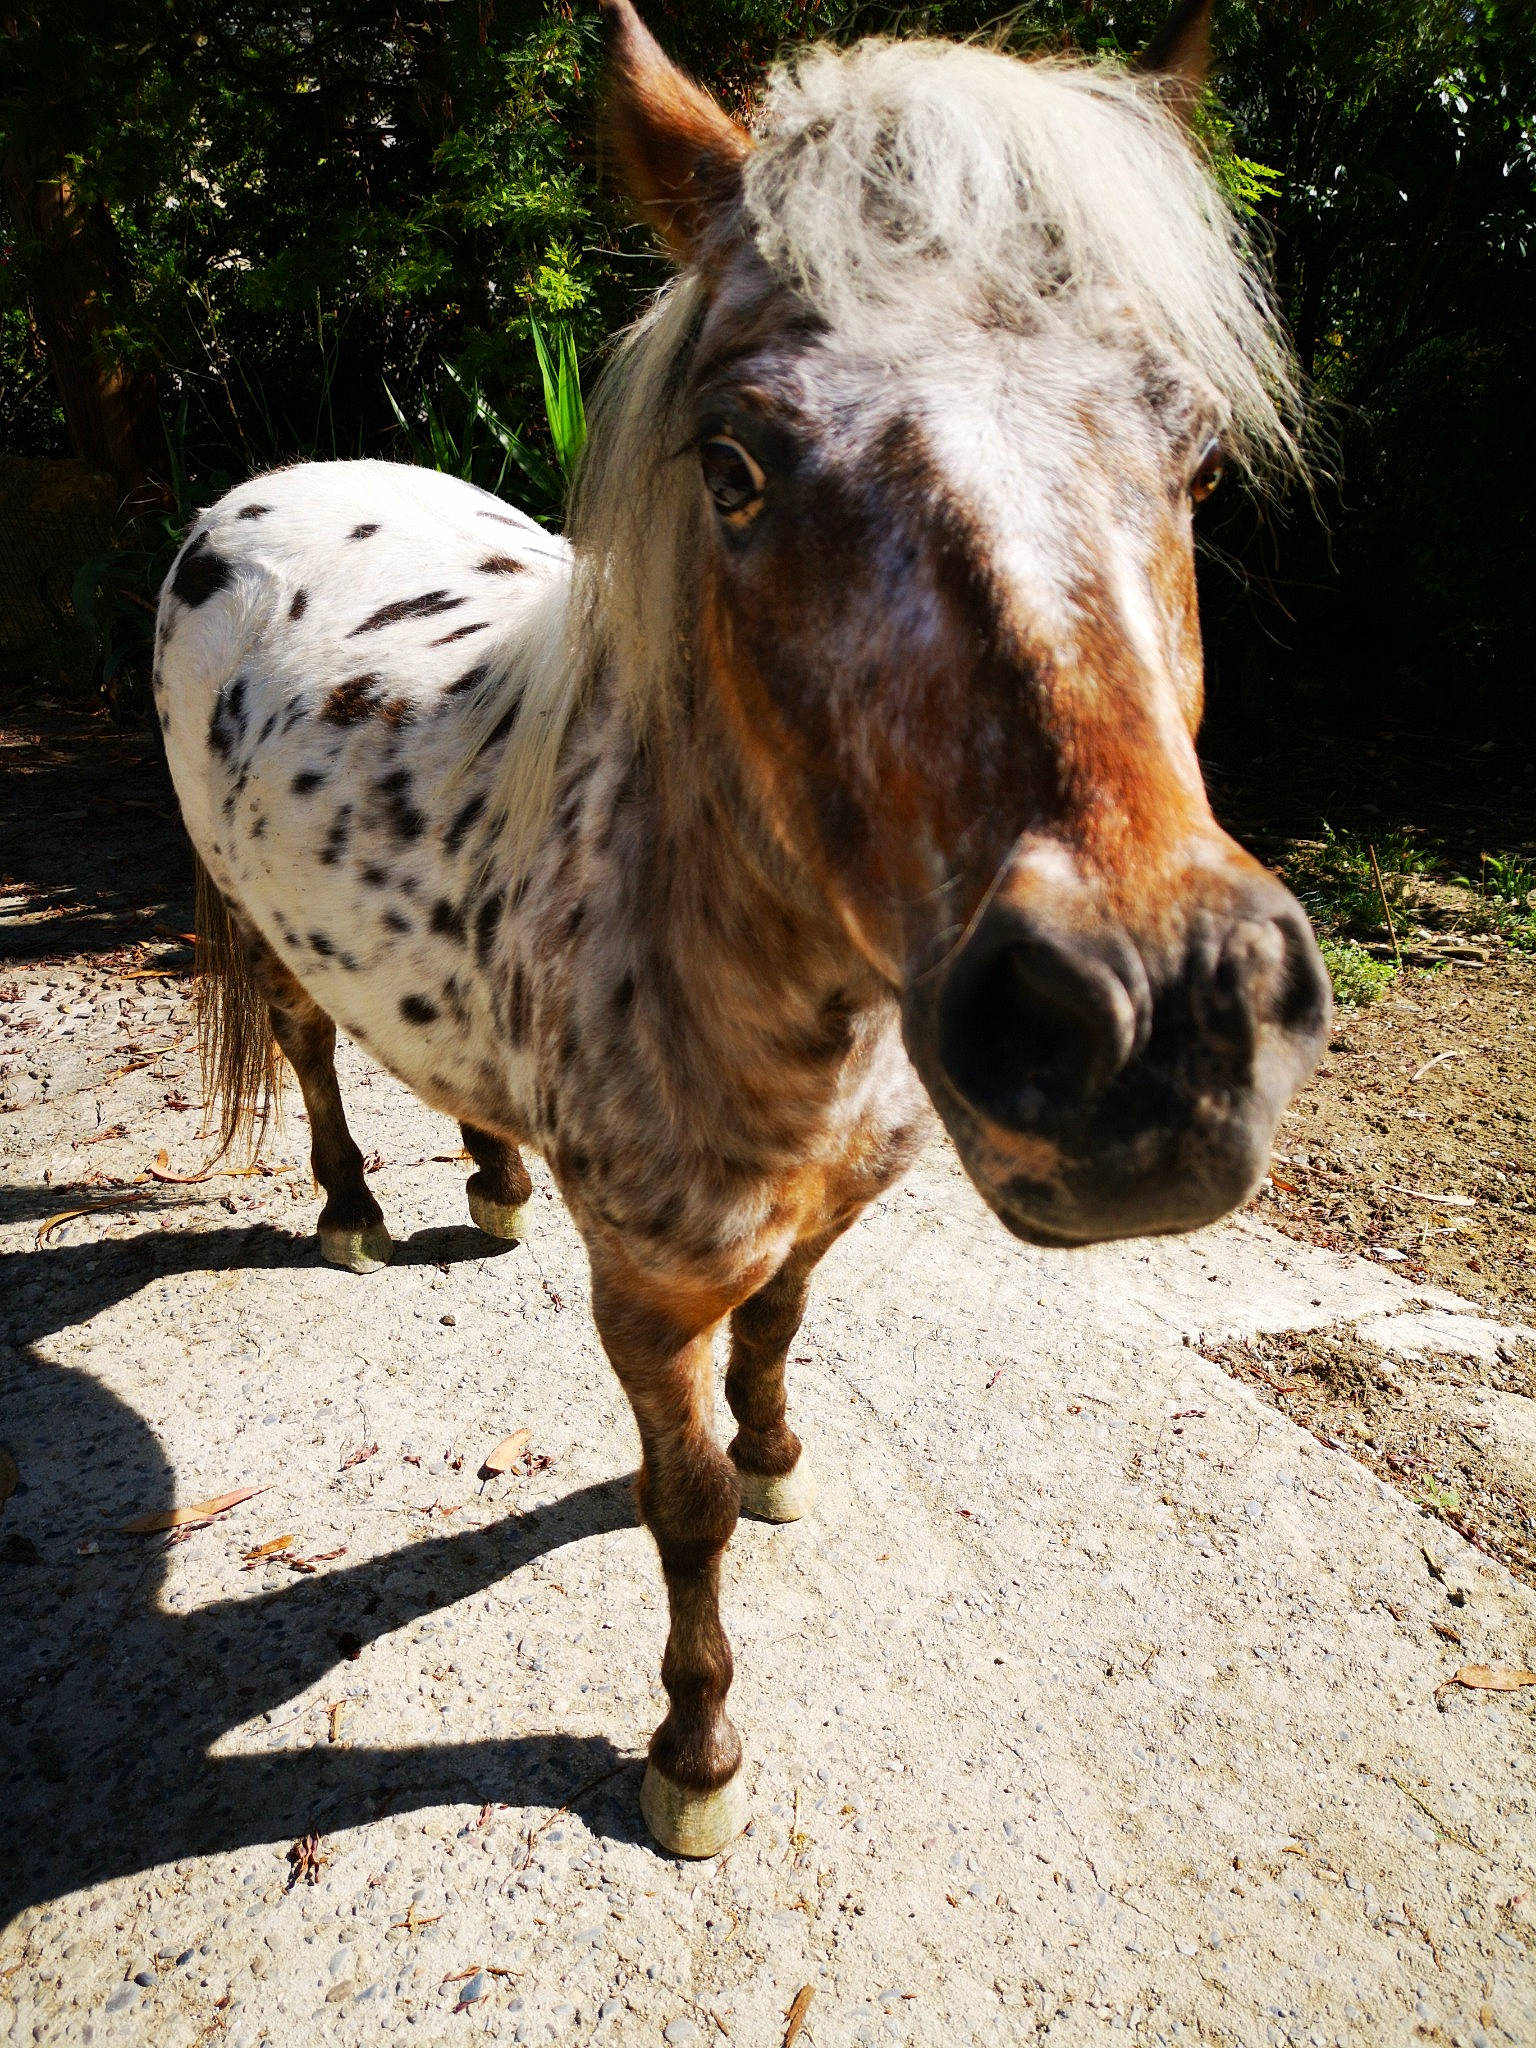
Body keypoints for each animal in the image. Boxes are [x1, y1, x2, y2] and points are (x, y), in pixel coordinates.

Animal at [153, 0, 1330, 1858]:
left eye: (1199, 454)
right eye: (735, 464)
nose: (1156, 1027)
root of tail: (269, 486)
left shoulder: (823, 1217)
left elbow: (777, 1349)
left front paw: (780, 1461)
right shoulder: (646, 1295)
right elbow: (679, 1502)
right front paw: (693, 1749)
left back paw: (492, 1181)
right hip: (271, 942)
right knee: (312, 1054)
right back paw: (352, 1214)